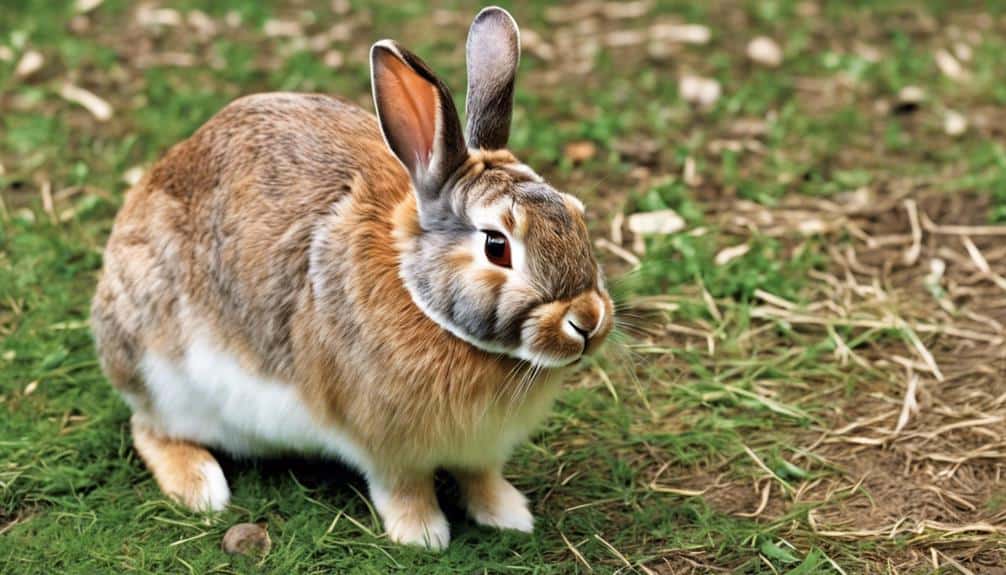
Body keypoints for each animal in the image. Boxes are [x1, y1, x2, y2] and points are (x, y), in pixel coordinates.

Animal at [90, 6, 613, 550]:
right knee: (149, 429)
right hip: (162, 373)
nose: (588, 320)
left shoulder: (480, 448)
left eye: (575, 212)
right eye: (497, 246)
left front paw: (509, 514)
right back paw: (199, 485)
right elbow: (404, 486)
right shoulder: (385, 444)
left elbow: (481, 477)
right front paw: (421, 534)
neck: (421, 298)